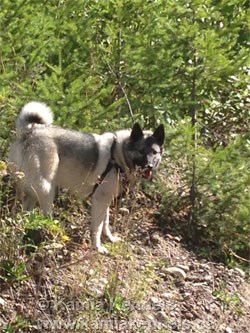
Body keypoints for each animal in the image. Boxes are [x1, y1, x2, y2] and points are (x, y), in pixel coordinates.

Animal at [8, 101, 165, 252]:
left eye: (154, 152)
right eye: (141, 151)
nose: (150, 166)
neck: (118, 154)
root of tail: (30, 131)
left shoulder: (105, 201)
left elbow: (105, 223)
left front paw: (110, 238)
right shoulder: (100, 200)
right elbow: (98, 227)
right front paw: (98, 247)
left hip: (33, 192)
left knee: (24, 212)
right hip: (46, 188)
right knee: (46, 214)